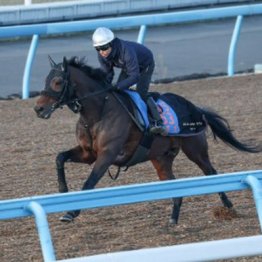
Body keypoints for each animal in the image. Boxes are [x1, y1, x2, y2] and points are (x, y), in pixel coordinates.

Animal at [33, 55, 260, 223]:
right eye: (45, 80)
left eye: (58, 82)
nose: (38, 108)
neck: (98, 113)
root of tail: (197, 108)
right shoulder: (88, 153)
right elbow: (59, 158)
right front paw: (63, 191)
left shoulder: (107, 154)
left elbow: (90, 182)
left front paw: (71, 212)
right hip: (160, 158)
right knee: (175, 184)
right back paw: (173, 220)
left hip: (195, 150)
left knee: (211, 172)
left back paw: (228, 207)